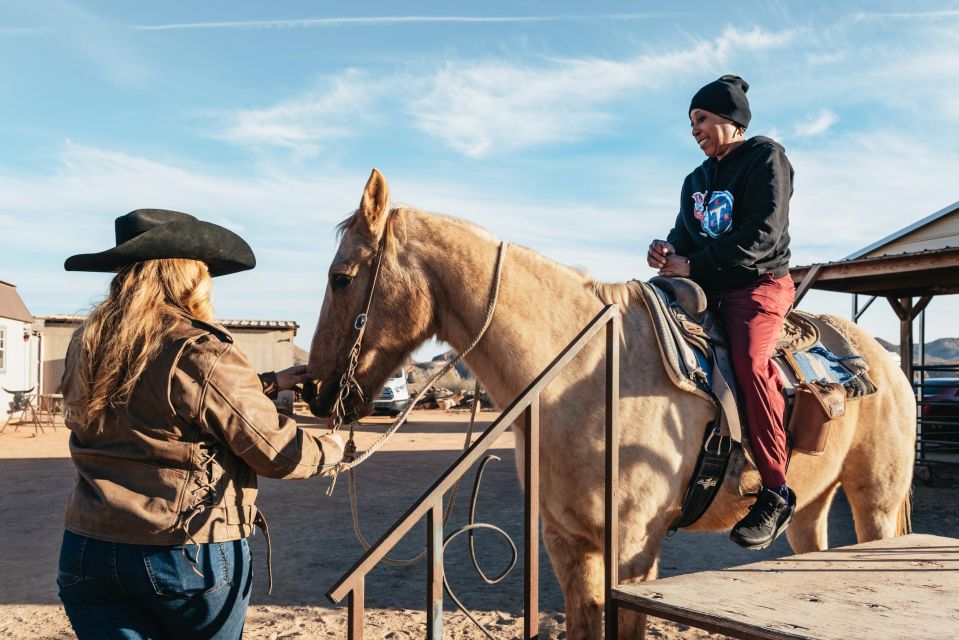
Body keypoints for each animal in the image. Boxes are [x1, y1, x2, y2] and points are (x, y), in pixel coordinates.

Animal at [308, 168, 916, 636]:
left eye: (341, 277)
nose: (316, 389)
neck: (584, 373)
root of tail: (886, 363)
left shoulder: (632, 548)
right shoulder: (567, 541)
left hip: (876, 504)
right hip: (813, 505)